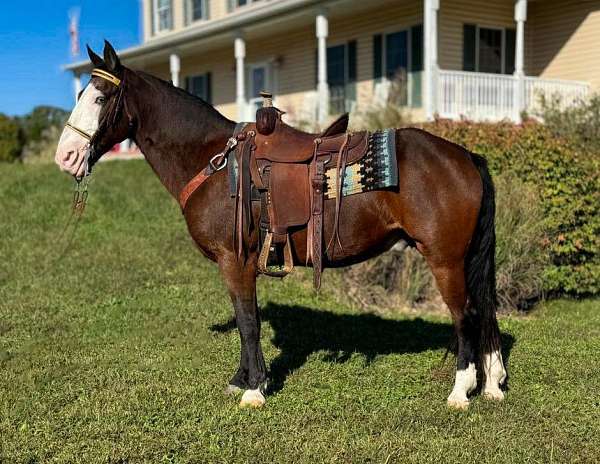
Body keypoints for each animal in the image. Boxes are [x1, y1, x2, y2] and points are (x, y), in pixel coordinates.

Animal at [56, 41, 506, 408]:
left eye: (100, 97)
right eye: (81, 94)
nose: (65, 156)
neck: (214, 161)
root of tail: (466, 156)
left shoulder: (234, 261)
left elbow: (248, 321)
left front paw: (254, 389)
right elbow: (245, 318)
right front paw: (242, 380)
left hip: (445, 259)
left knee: (465, 315)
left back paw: (460, 392)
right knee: (484, 310)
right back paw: (493, 384)